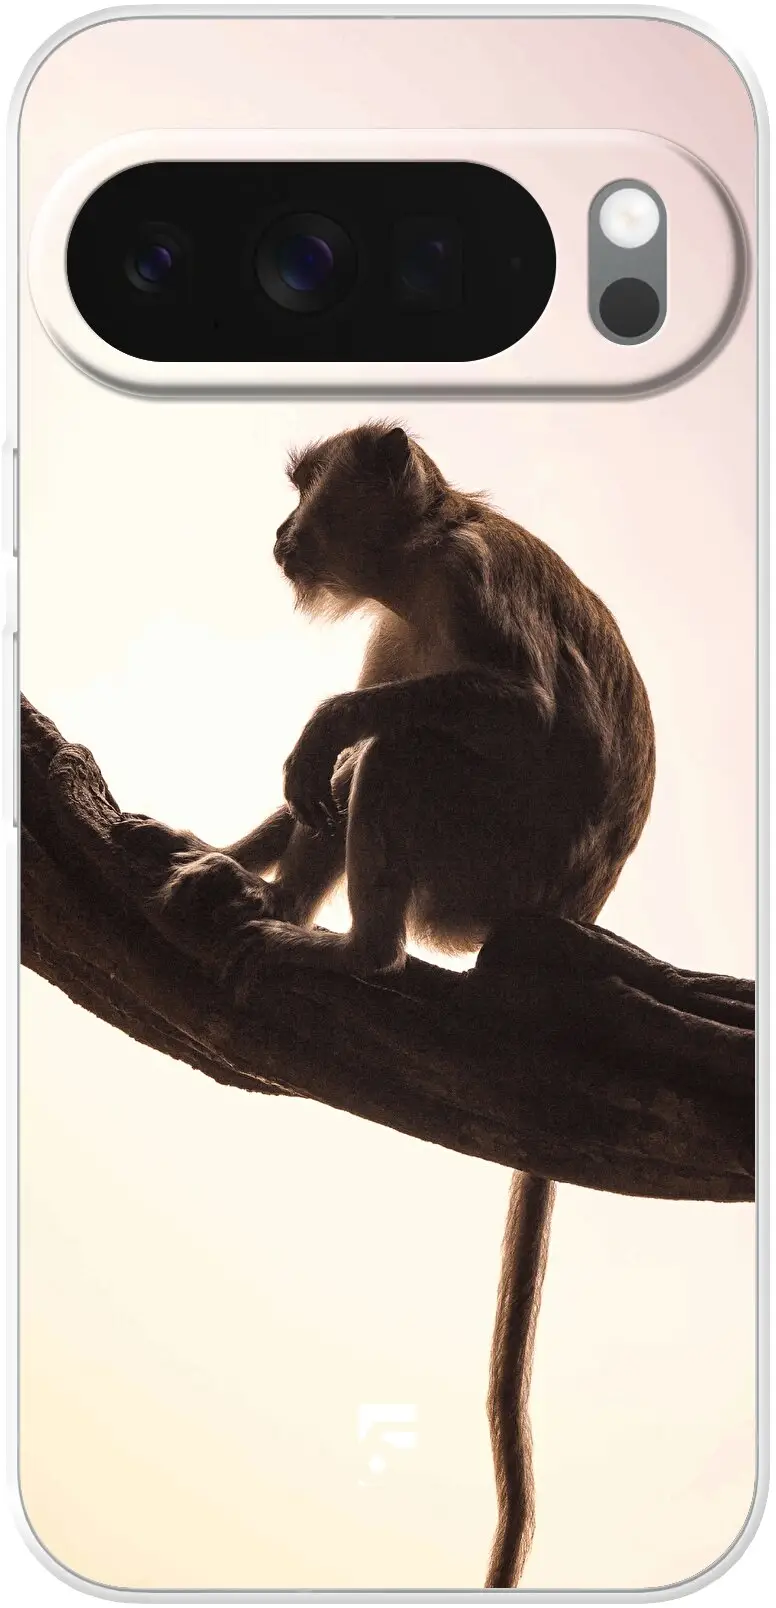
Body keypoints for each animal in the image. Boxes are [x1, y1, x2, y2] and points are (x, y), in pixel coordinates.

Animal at [156, 421, 656, 1586]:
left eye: (309, 488)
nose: (281, 530)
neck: (421, 553)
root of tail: (567, 912)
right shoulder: (395, 621)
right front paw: (221, 853)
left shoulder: (466, 581)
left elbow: (512, 710)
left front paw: (322, 735)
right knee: (358, 777)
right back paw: (270, 899)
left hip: (484, 870)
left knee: (399, 756)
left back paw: (353, 951)